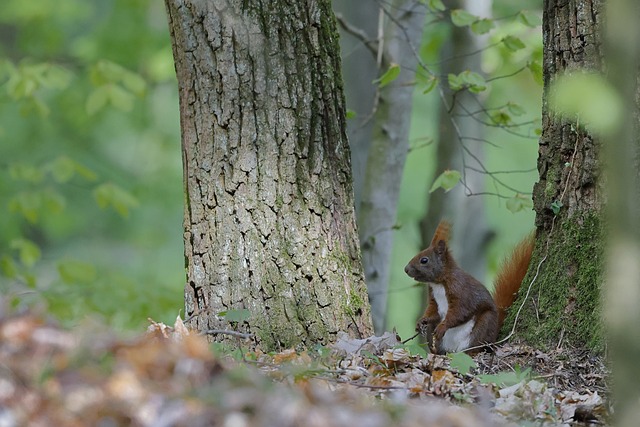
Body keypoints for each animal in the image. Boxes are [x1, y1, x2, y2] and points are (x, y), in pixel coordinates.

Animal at [404, 221, 536, 354]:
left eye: (424, 260)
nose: (406, 269)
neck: (439, 283)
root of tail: (454, 350)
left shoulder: (460, 290)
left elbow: (460, 312)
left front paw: (443, 326)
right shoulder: (433, 298)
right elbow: (433, 311)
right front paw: (422, 321)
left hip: (484, 325)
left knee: (475, 348)